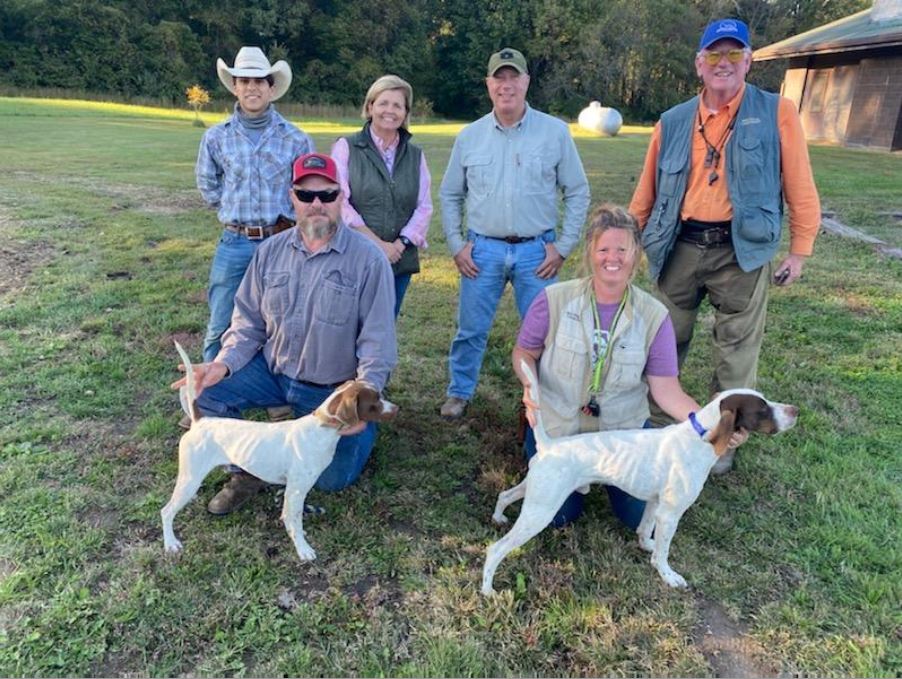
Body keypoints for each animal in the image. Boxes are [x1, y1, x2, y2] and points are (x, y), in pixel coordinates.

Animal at [164, 346, 398, 564]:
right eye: (375, 402)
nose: (396, 409)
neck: (321, 430)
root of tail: (200, 421)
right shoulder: (295, 490)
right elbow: (293, 519)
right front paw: (303, 549)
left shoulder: (297, 490)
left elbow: (293, 517)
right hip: (190, 478)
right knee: (166, 511)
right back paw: (170, 543)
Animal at [484, 362, 800, 596]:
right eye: (762, 408)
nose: (796, 411)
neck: (699, 439)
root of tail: (549, 444)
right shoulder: (671, 513)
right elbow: (663, 552)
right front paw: (668, 575)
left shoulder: (656, 504)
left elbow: (646, 530)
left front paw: (646, 545)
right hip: (542, 510)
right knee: (495, 550)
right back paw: (488, 590)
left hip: (536, 494)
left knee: (505, 495)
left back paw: (498, 518)